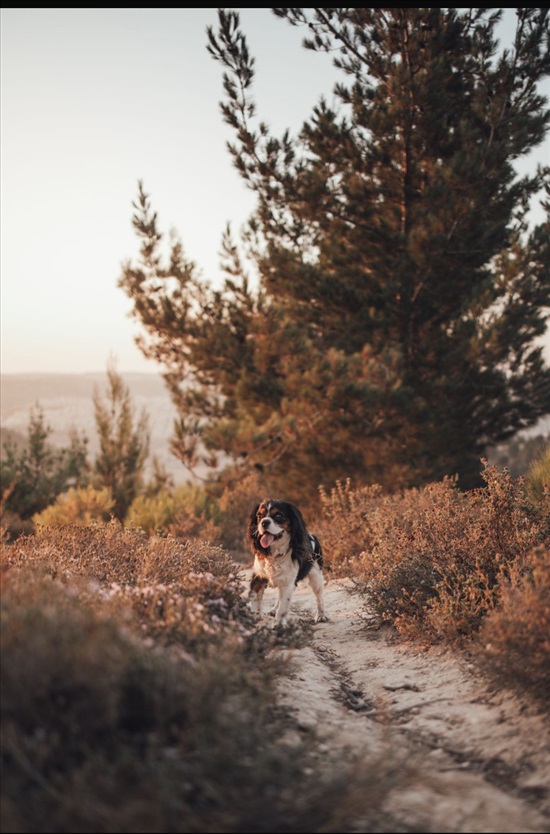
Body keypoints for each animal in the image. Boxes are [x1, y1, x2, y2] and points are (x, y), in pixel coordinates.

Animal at [248, 494, 330, 624]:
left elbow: (282, 609)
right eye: (259, 516)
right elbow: (255, 599)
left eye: (278, 516)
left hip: (316, 574)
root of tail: (312, 535)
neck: (275, 553)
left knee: (319, 596)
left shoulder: (288, 583)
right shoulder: (259, 577)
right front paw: (255, 618)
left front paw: (278, 625)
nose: (264, 522)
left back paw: (321, 615)